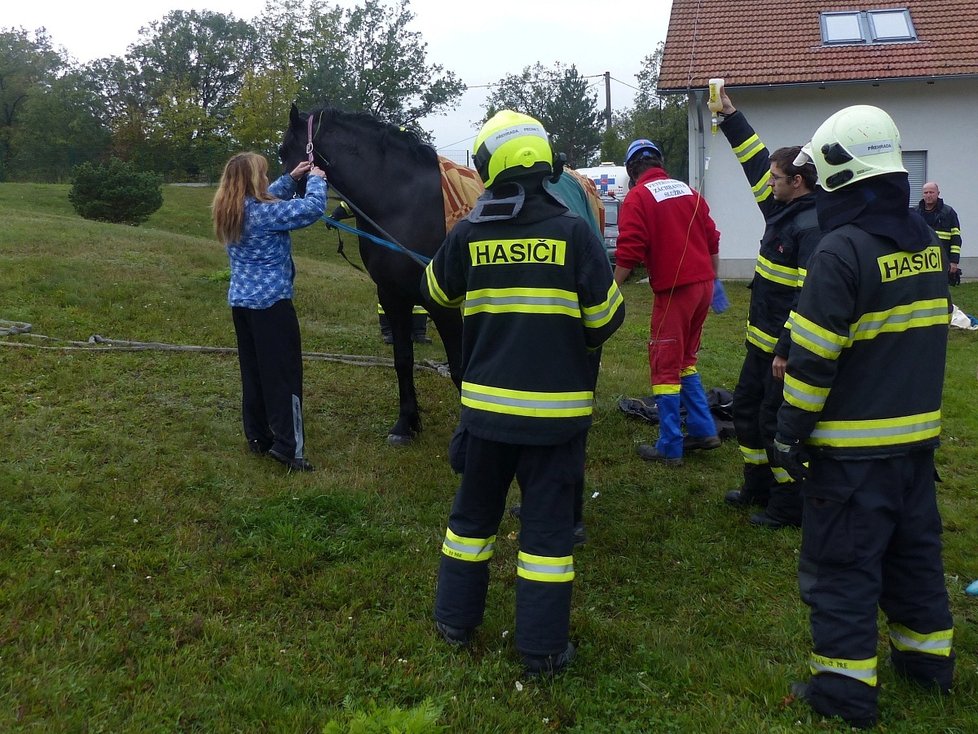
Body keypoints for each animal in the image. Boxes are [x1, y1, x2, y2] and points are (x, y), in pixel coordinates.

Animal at [278, 104, 462, 446]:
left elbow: (460, 368)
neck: (404, 203)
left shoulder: (444, 305)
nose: (277, 194)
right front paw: (406, 424)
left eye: (284, 149)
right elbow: (403, 359)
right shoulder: (392, 295)